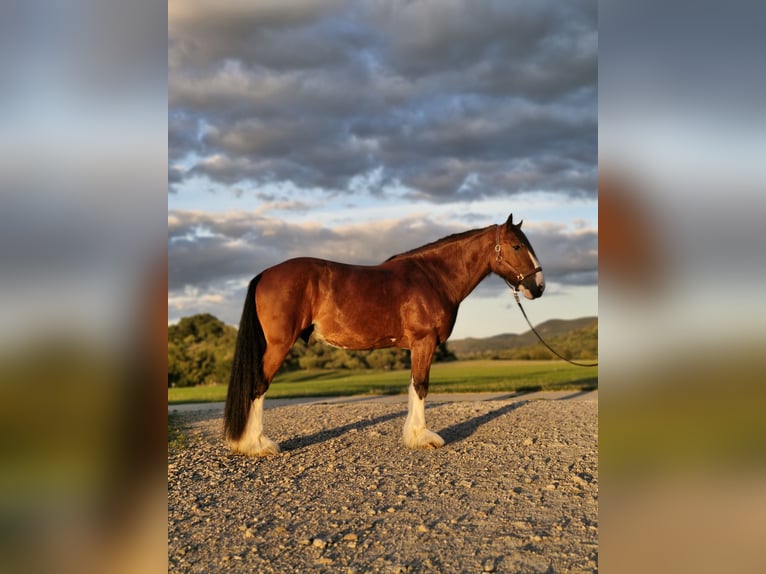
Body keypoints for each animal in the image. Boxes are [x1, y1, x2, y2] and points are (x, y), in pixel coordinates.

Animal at [223, 214, 545, 456]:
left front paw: (413, 436)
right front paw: (422, 438)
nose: (539, 286)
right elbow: (421, 387)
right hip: (279, 345)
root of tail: (266, 274)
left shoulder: (416, 346)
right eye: (517, 246)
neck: (433, 277)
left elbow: (413, 386)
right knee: (258, 386)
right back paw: (257, 445)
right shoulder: (424, 342)